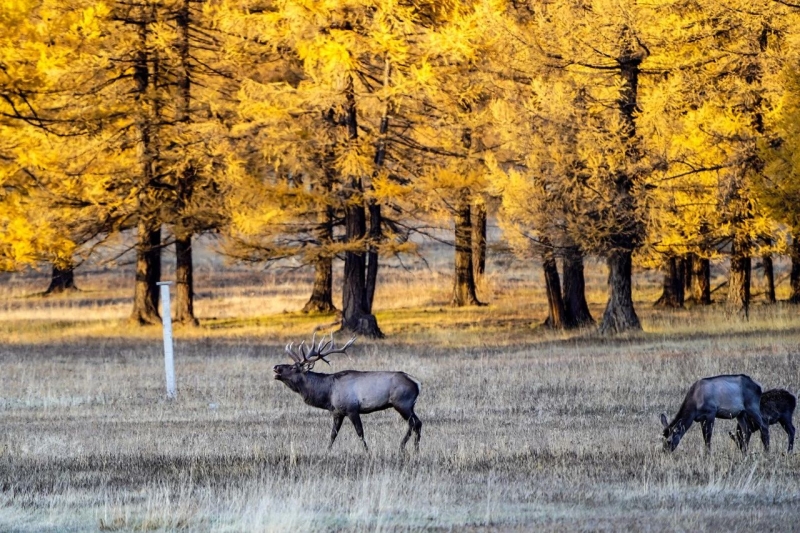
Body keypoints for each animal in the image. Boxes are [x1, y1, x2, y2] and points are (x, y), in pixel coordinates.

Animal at [272, 330, 422, 450]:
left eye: (293, 367)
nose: (276, 367)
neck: (327, 394)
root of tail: (417, 382)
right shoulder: (337, 412)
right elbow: (333, 434)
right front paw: (327, 450)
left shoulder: (352, 409)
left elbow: (360, 432)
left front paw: (367, 451)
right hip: (409, 405)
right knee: (416, 423)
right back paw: (413, 448)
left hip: (402, 403)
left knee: (414, 424)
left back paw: (405, 447)